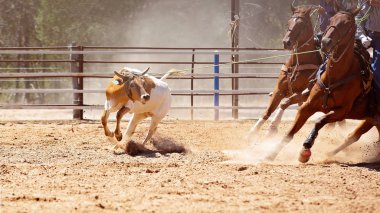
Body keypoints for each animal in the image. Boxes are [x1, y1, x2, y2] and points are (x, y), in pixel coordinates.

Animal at [246, 5, 320, 138]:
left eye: (302, 24)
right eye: (288, 23)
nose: (286, 42)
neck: (297, 64)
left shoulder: (303, 94)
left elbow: (284, 103)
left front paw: (273, 127)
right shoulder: (279, 90)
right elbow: (268, 111)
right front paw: (253, 131)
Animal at [266, 7, 380, 161]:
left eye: (348, 24)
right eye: (331, 20)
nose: (326, 42)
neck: (335, 75)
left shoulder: (342, 111)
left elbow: (320, 120)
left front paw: (306, 147)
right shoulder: (307, 104)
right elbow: (290, 131)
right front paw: (270, 154)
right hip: (372, 119)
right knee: (353, 136)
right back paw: (329, 154)